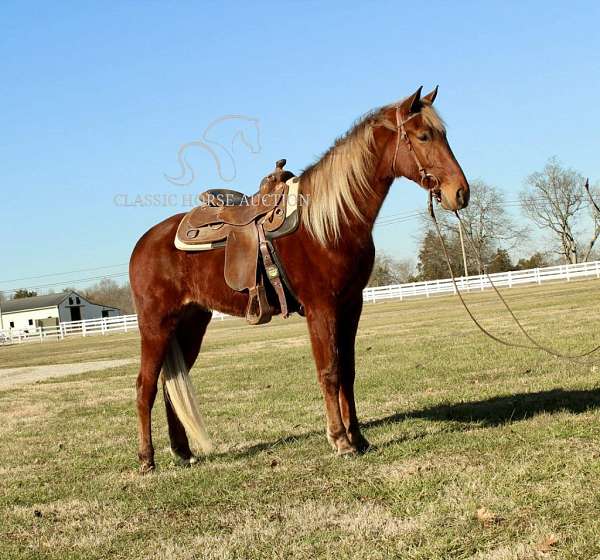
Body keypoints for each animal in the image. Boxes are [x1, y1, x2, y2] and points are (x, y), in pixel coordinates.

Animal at [130, 86, 468, 472]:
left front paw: (358, 438)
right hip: (155, 326)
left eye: (443, 134)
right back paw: (147, 459)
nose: (461, 192)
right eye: (423, 136)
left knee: (171, 387)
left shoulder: (351, 304)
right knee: (145, 387)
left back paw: (183, 452)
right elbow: (329, 370)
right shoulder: (321, 307)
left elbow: (348, 370)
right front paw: (340, 440)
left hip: (190, 325)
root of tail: (144, 243)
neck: (329, 221)